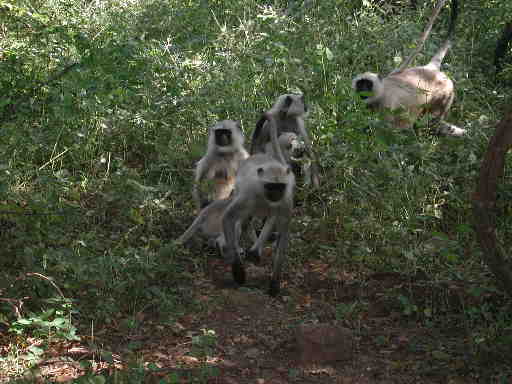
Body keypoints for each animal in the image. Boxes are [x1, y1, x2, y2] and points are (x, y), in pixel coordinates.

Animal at [221, 112, 296, 296]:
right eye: (270, 186)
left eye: (279, 187)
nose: (275, 194)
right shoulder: (248, 194)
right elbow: (228, 218)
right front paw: (238, 271)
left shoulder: (286, 199)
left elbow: (283, 231)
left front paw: (275, 281)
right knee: (245, 221)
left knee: (270, 217)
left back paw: (256, 250)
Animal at [352, 0, 464, 136]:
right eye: (360, 84)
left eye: (368, 85)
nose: (363, 90)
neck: (382, 90)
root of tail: (431, 69)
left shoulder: (386, 104)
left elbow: (386, 130)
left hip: (445, 93)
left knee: (429, 121)